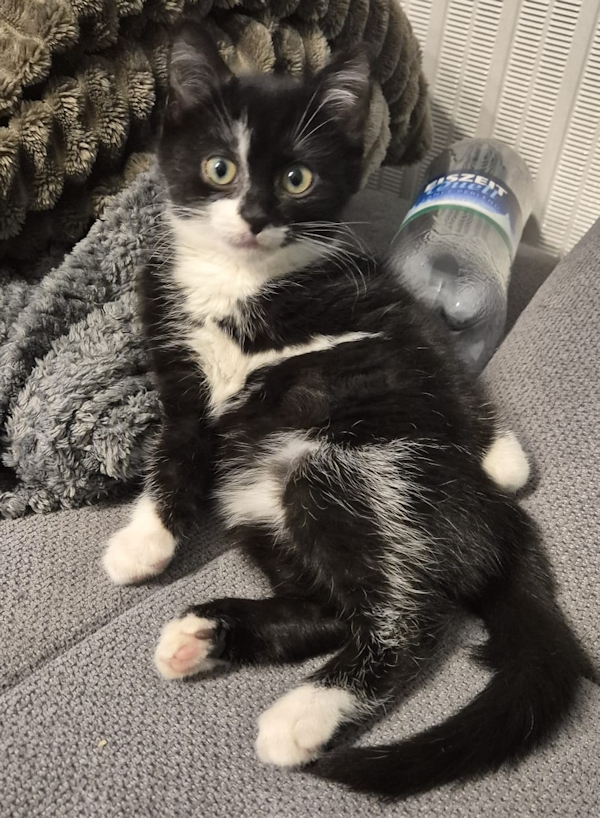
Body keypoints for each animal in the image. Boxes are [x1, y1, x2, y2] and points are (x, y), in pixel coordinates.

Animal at [102, 20, 589, 799]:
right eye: (219, 169)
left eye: (296, 179)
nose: (253, 217)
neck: (241, 281)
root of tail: (492, 520)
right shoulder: (174, 356)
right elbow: (174, 451)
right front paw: (145, 541)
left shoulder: (382, 302)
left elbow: (441, 358)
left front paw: (501, 450)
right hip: (255, 497)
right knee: (331, 607)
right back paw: (206, 636)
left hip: (349, 468)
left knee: (408, 614)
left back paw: (302, 714)